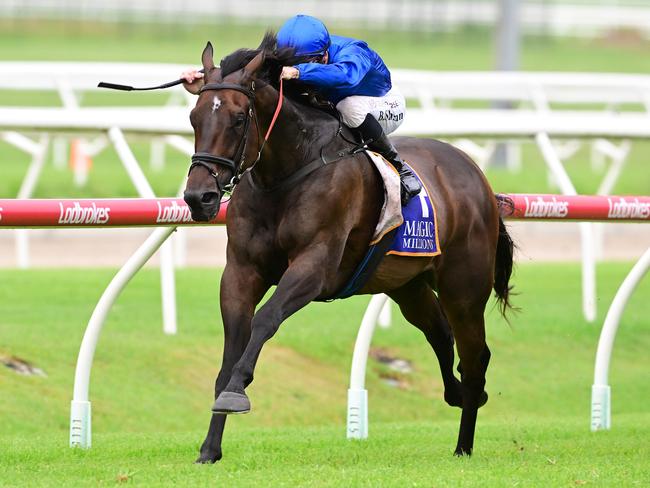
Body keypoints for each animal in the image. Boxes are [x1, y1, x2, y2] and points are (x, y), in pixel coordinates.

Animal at [181, 33, 512, 462]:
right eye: (195, 118)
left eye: (239, 119)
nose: (198, 197)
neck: (286, 173)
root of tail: (476, 175)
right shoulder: (241, 270)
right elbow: (232, 346)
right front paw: (210, 446)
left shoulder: (314, 266)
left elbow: (265, 319)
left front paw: (236, 392)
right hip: (408, 285)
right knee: (440, 333)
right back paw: (455, 398)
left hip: (464, 288)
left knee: (475, 356)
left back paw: (463, 444)